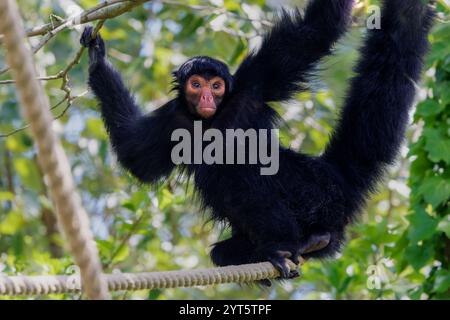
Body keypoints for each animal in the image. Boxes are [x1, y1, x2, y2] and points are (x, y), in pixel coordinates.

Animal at [81, 0, 432, 278]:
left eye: (216, 86)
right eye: (196, 84)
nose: (206, 97)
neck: (210, 120)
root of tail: (334, 174)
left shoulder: (253, 83)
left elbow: (318, 28)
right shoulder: (174, 118)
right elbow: (137, 157)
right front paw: (96, 60)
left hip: (313, 194)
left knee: (229, 168)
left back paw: (283, 245)